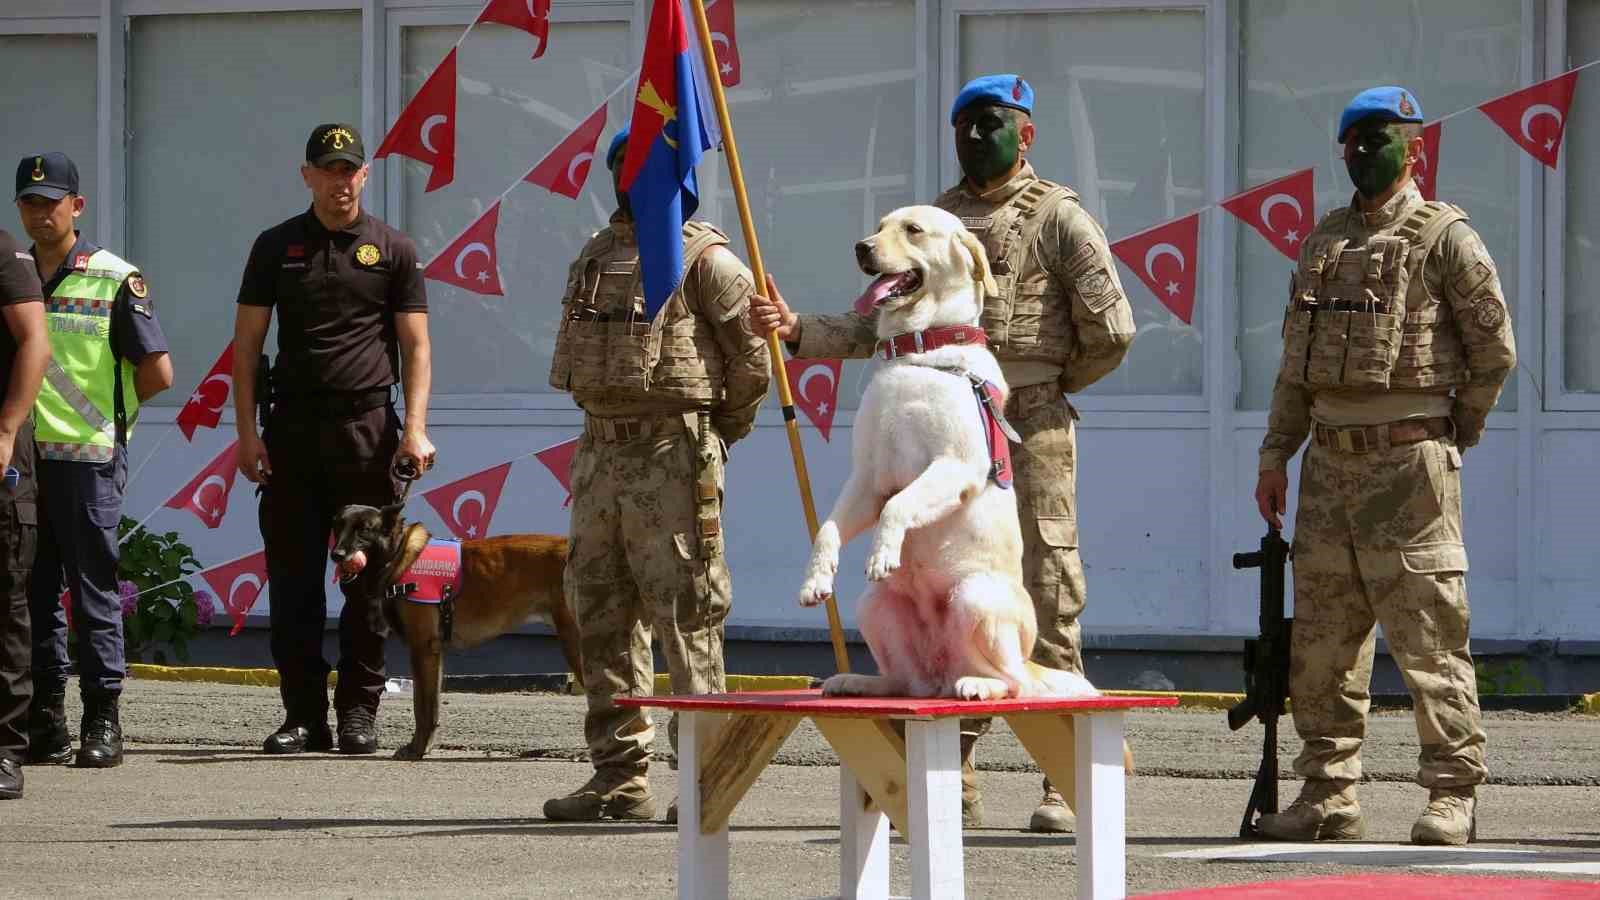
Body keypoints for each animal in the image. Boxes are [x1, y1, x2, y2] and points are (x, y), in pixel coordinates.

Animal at [326, 499, 582, 752]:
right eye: (337, 525)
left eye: (364, 530)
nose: (336, 555)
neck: (400, 555)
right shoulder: (433, 655)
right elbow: (429, 705)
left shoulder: (423, 649)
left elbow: (423, 707)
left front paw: (418, 749)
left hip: (574, 644)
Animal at [800, 204, 1100, 701]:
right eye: (879, 227)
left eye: (913, 230)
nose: (861, 247)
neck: (918, 350)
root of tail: (941, 676)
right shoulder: (866, 480)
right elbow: (827, 529)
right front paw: (816, 578)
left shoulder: (954, 466)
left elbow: (899, 506)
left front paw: (882, 553)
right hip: (875, 604)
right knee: (904, 681)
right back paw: (856, 681)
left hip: (975, 598)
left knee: (1015, 682)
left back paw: (978, 685)